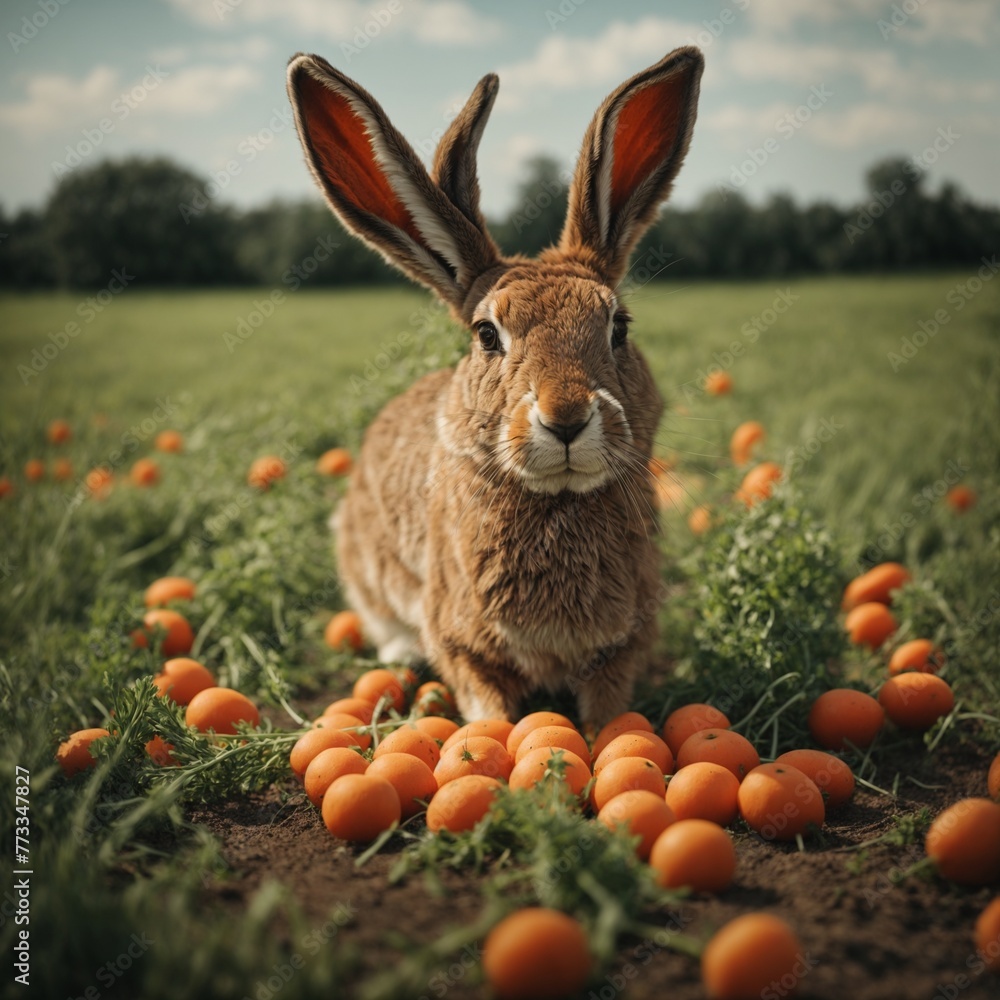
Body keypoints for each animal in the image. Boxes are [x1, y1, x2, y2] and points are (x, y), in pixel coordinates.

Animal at [286, 46, 704, 727]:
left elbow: (609, 713)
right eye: (487, 334)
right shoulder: (463, 644)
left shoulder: (624, 645)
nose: (566, 417)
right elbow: (489, 708)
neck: (556, 500)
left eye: (618, 326)